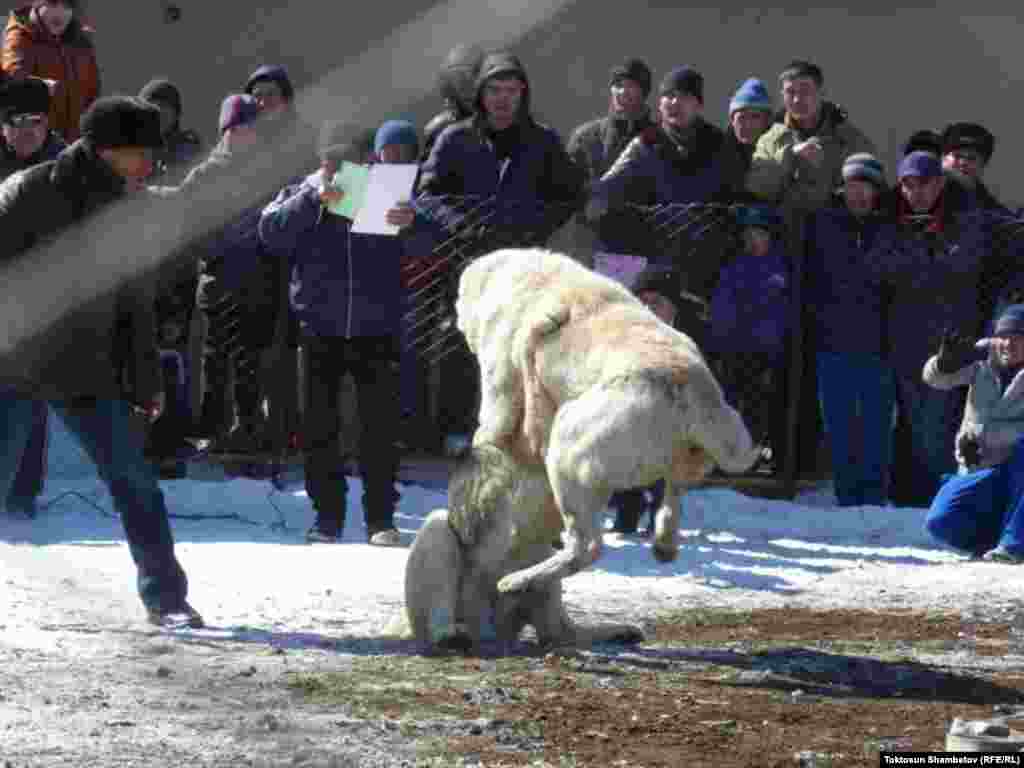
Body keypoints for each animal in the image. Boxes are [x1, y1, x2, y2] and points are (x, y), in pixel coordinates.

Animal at [456, 250, 761, 593]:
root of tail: (692, 398)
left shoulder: (502, 379)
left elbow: (493, 429)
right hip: (694, 447)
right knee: (675, 490)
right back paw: (664, 544)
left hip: (579, 440)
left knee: (586, 544)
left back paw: (519, 580)